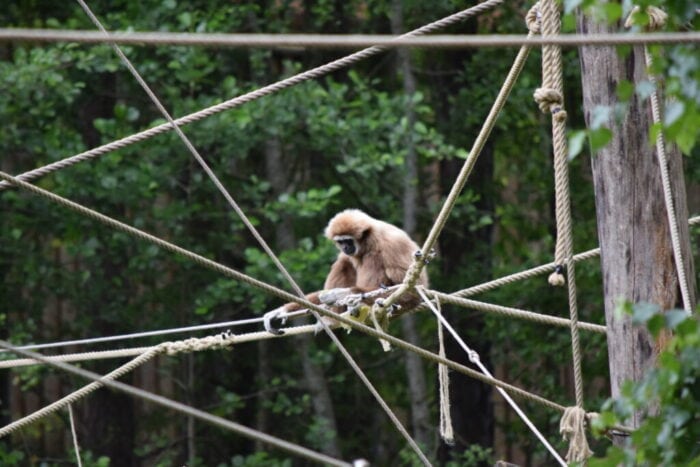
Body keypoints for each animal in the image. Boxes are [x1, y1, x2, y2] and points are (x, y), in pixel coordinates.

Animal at [264, 209, 429, 334]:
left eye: (348, 240)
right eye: (340, 241)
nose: (345, 247)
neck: (370, 239)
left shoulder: (393, 245)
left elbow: (412, 292)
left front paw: (340, 294)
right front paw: (280, 311)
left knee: (372, 258)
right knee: (344, 262)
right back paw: (331, 318)